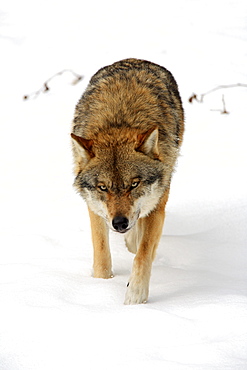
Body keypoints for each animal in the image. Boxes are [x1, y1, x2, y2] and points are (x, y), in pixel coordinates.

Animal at [71, 59, 183, 304]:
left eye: (134, 184)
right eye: (103, 187)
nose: (119, 223)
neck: (119, 121)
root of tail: (135, 59)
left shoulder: (156, 208)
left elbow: (143, 254)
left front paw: (135, 297)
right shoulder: (95, 207)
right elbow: (101, 253)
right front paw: (101, 286)